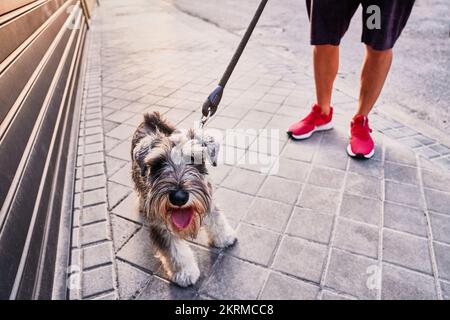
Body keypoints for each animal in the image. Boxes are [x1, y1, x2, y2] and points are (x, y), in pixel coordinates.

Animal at [131, 112, 237, 288]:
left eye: (193, 159)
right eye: (158, 163)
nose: (179, 197)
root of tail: (150, 117)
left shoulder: (209, 201)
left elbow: (217, 219)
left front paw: (225, 237)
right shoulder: (161, 225)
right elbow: (174, 250)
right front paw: (184, 273)